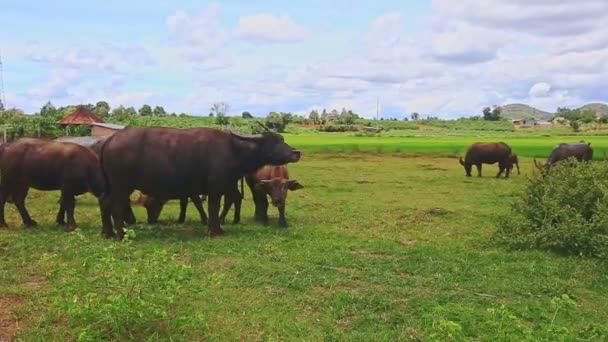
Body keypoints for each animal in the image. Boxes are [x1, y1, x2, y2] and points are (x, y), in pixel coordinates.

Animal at [97, 127, 302, 239]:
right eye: (273, 142)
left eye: (282, 139)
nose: (296, 152)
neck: (233, 150)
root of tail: (109, 141)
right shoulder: (215, 188)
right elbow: (213, 207)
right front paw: (216, 230)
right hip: (121, 186)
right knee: (115, 206)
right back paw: (120, 234)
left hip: (111, 187)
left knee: (105, 203)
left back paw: (108, 233)